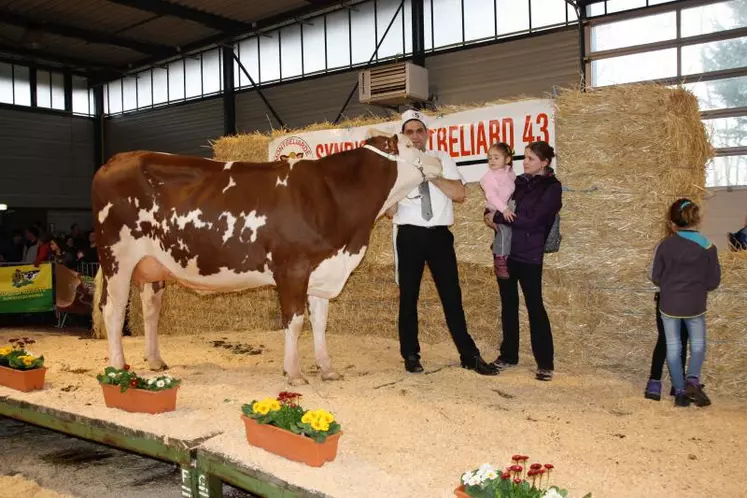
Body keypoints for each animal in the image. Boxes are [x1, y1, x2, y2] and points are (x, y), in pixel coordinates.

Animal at [93, 132, 444, 386]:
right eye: (411, 144)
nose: (441, 161)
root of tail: (116, 160)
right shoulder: (292, 268)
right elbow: (295, 321)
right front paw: (295, 373)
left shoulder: (322, 270)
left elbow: (320, 322)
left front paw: (327, 369)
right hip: (117, 258)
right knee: (112, 310)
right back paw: (117, 367)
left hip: (153, 266)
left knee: (150, 310)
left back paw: (154, 360)